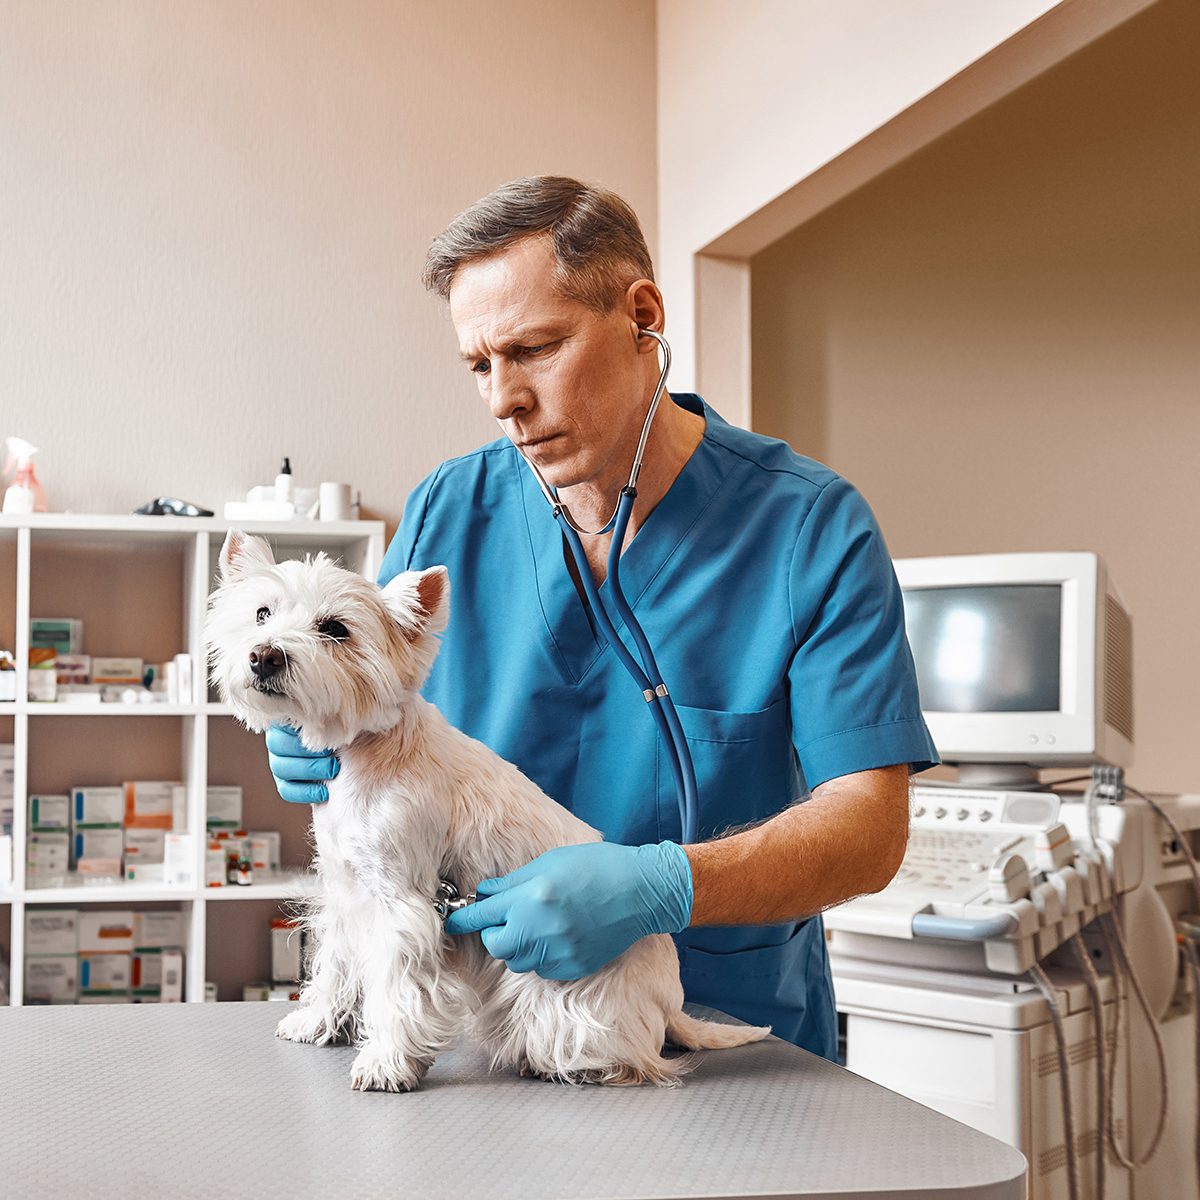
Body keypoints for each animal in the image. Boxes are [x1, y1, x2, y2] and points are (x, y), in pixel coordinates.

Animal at [206, 530, 768, 1094]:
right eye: (262, 613)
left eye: (335, 629)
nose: (264, 657)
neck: (364, 753)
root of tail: (672, 1004)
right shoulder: (345, 889)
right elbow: (335, 965)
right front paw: (317, 1021)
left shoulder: (403, 903)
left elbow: (396, 988)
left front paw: (386, 1061)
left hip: (566, 997)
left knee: (632, 1056)